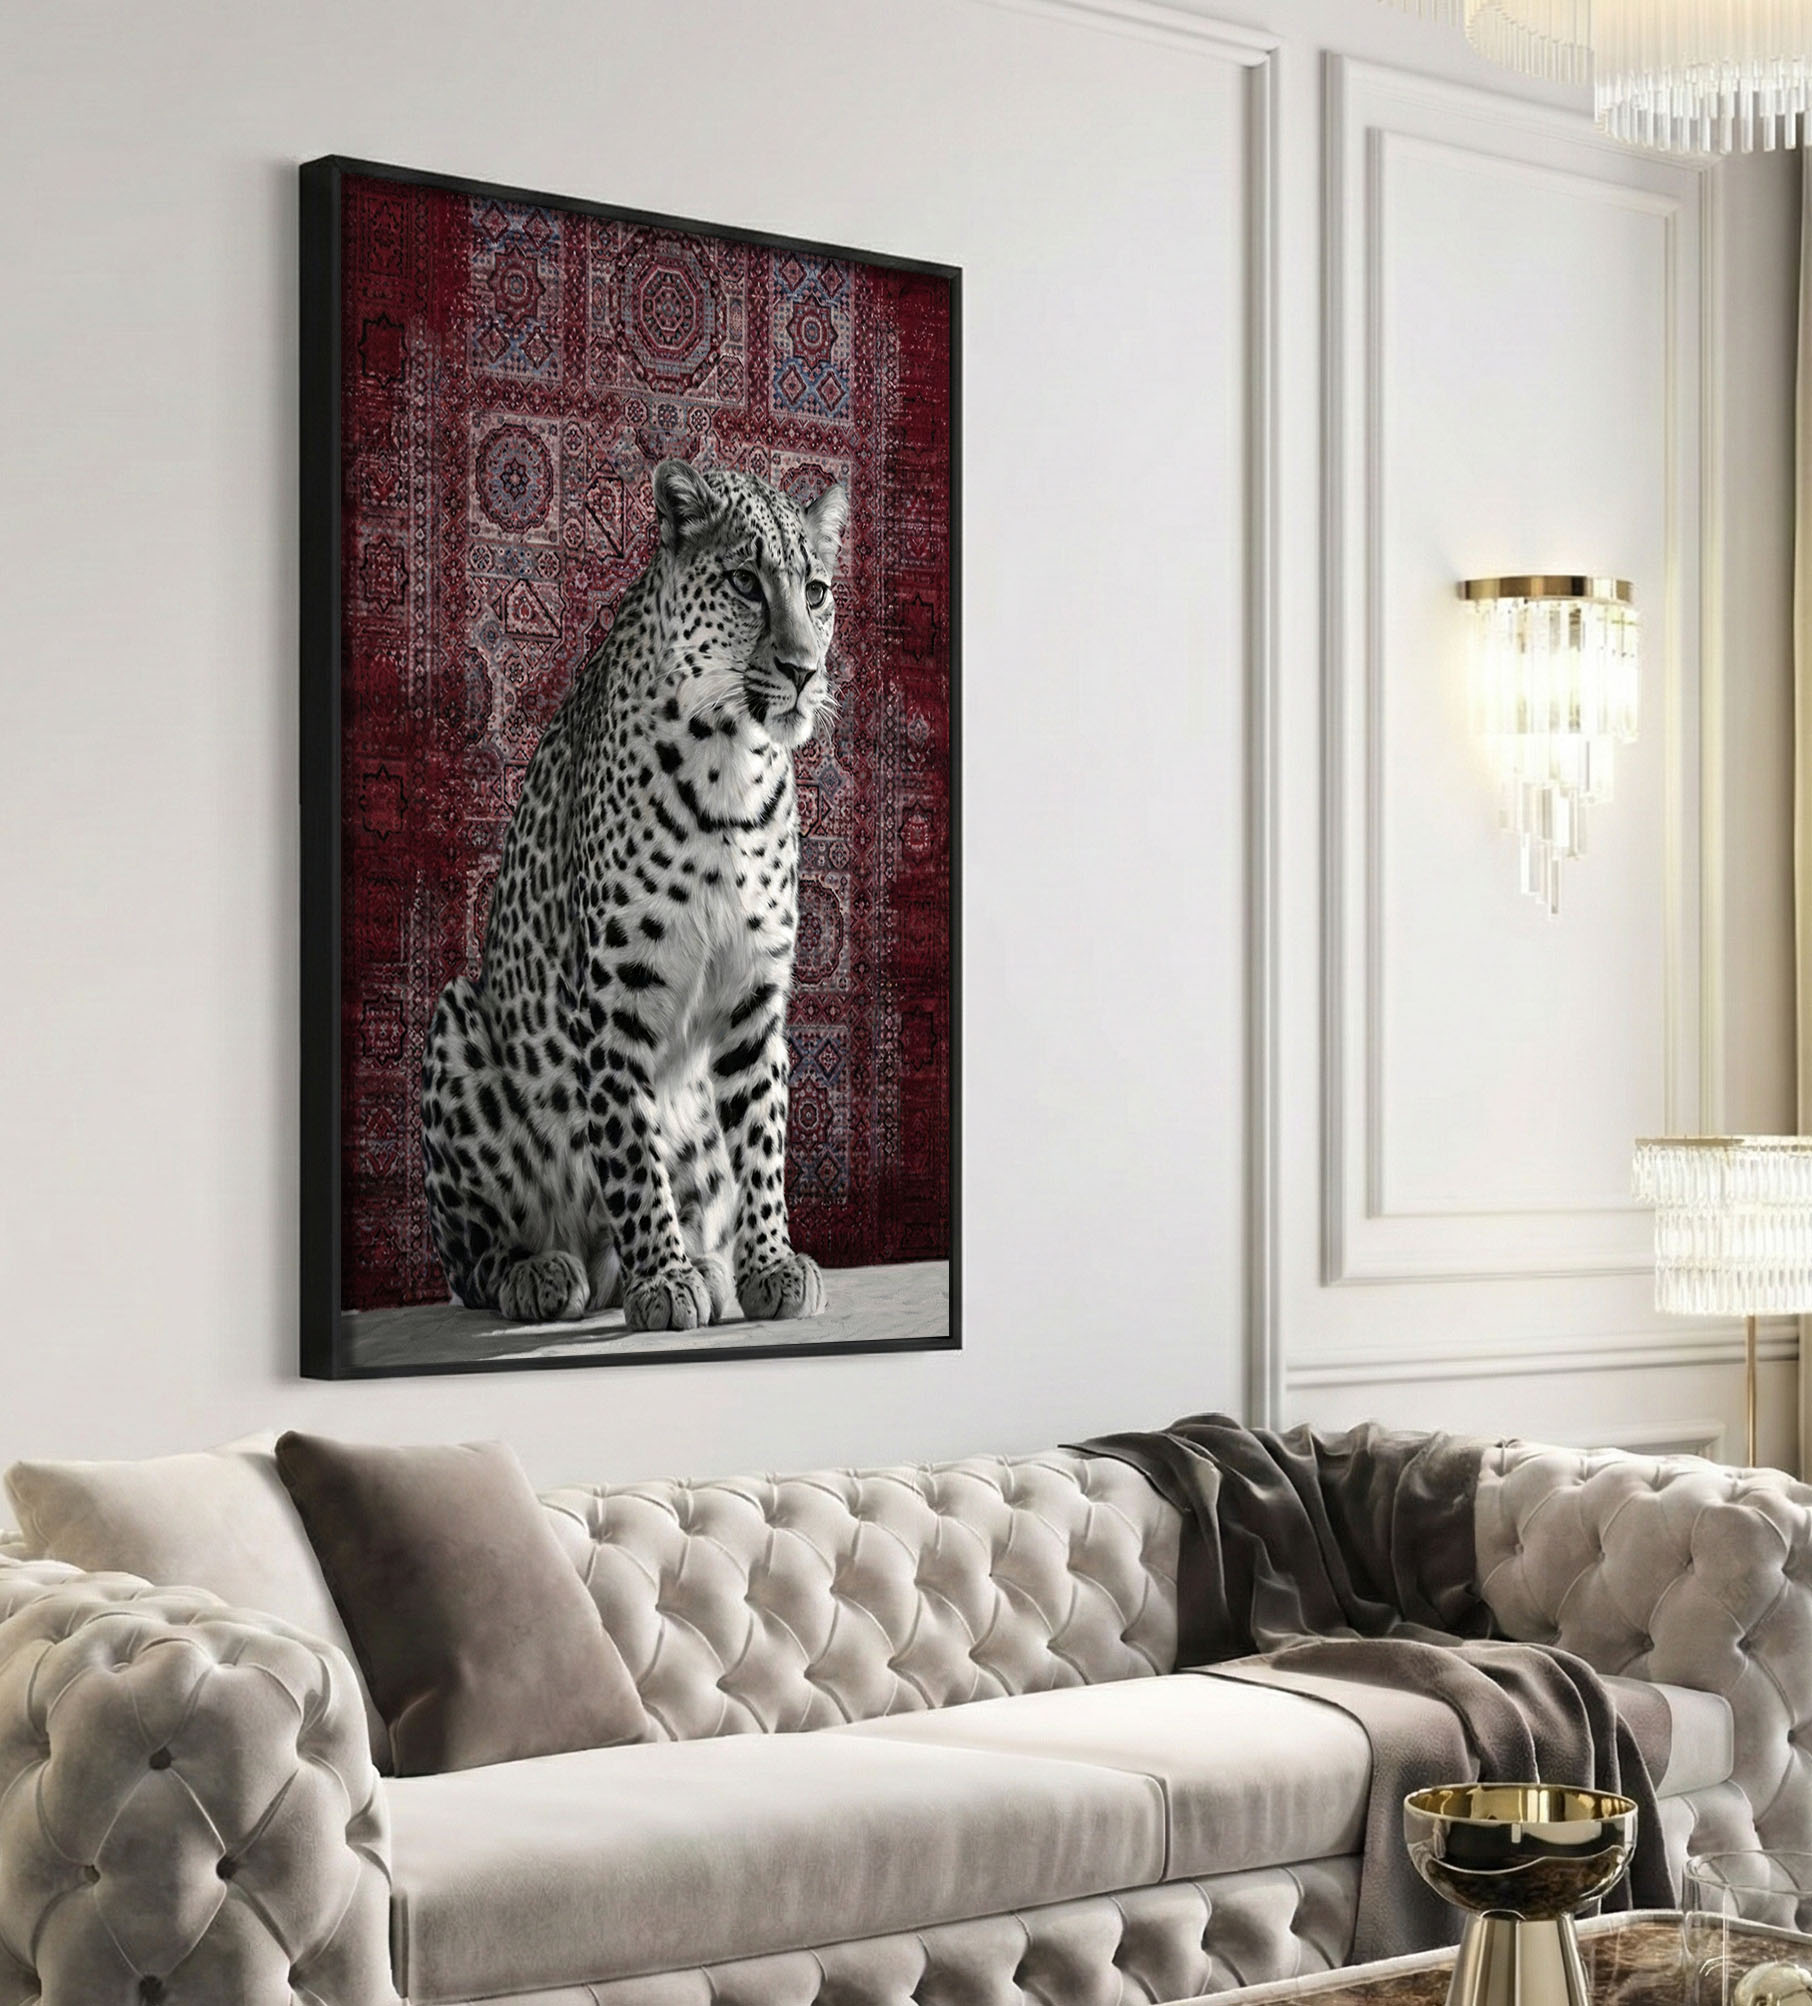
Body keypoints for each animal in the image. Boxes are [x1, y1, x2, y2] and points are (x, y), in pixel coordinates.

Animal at [419, 458, 848, 1332]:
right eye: (746, 583)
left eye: (816, 592)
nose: (803, 671)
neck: (733, 766)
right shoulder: (615, 993)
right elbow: (626, 1145)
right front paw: (665, 1280)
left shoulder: (755, 992)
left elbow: (763, 1139)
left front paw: (769, 1264)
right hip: (454, 1020)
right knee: (471, 1261)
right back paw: (544, 1273)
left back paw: (709, 1267)